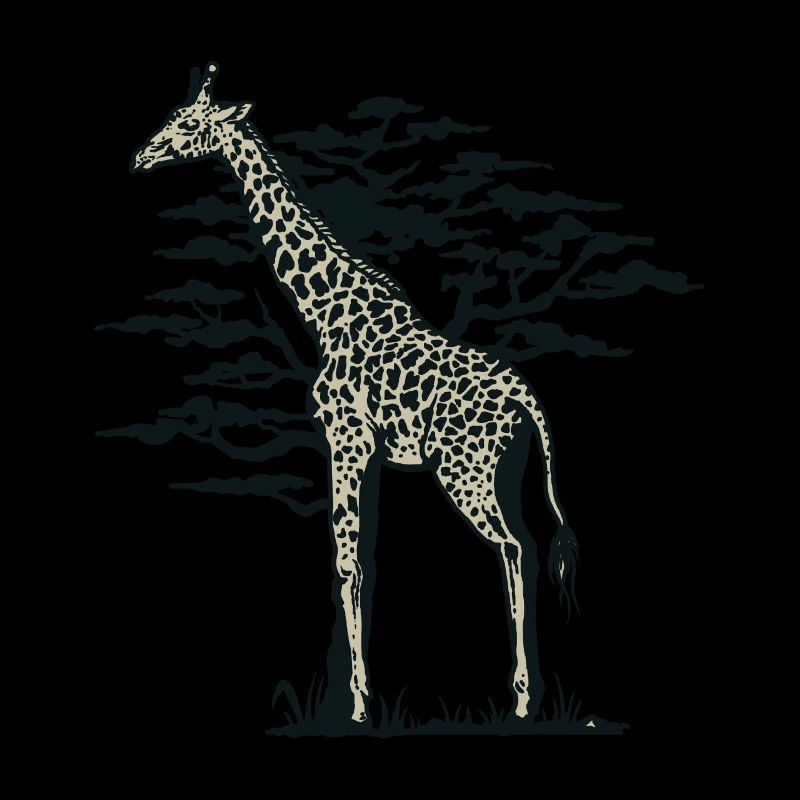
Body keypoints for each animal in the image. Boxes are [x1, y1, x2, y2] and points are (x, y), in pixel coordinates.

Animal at [132, 63, 579, 723]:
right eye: (172, 115)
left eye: (187, 125)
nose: (142, 156)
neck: (324, 307)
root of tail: (529, 402)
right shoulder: (364, 449)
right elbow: (359, 557)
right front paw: (355, 695)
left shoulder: (345, 437)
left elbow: (347, 561)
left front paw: (358, 704)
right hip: (506, 466)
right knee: (526, 541)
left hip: (463, 470)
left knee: (513, 547)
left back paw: (523, 700)